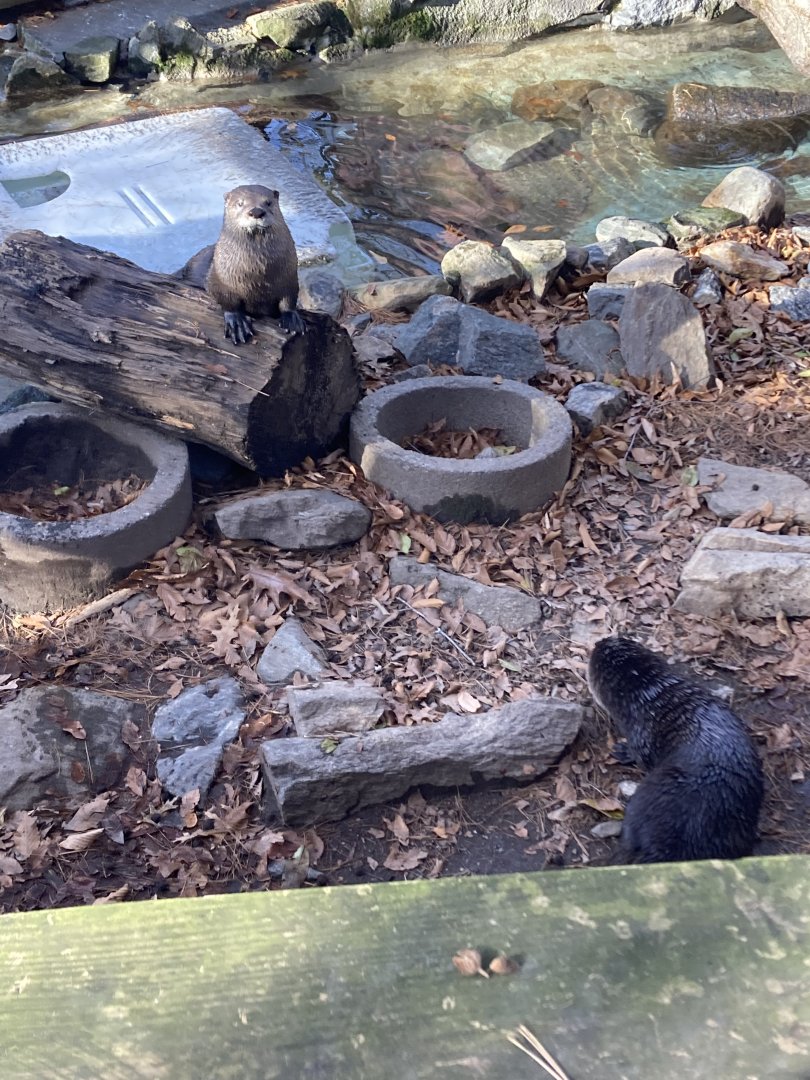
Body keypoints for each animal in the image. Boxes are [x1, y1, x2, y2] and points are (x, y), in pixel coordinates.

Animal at [206, 184, 305, 345]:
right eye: (240, 203)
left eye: (268, 202)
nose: (257, 212)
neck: (258, 273)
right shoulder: (219, 278)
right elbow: (225, 298)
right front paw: (237, 323)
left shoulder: (290, 276)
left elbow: (290, 298)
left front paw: (292, 319)